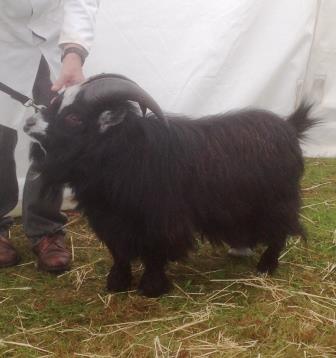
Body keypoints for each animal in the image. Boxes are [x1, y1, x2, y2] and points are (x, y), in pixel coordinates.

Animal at [23, 74, 318, 298]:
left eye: (74, 117)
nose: (28, 122)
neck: (127, 153)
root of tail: (289, 127)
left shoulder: (160, 221)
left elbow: (154, 253)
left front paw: (151, 289)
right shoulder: (110, 220)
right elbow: (119, 252)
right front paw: (117, 284)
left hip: (277, 201)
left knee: (281, 232)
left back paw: (266, 267)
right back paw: (240, 249)